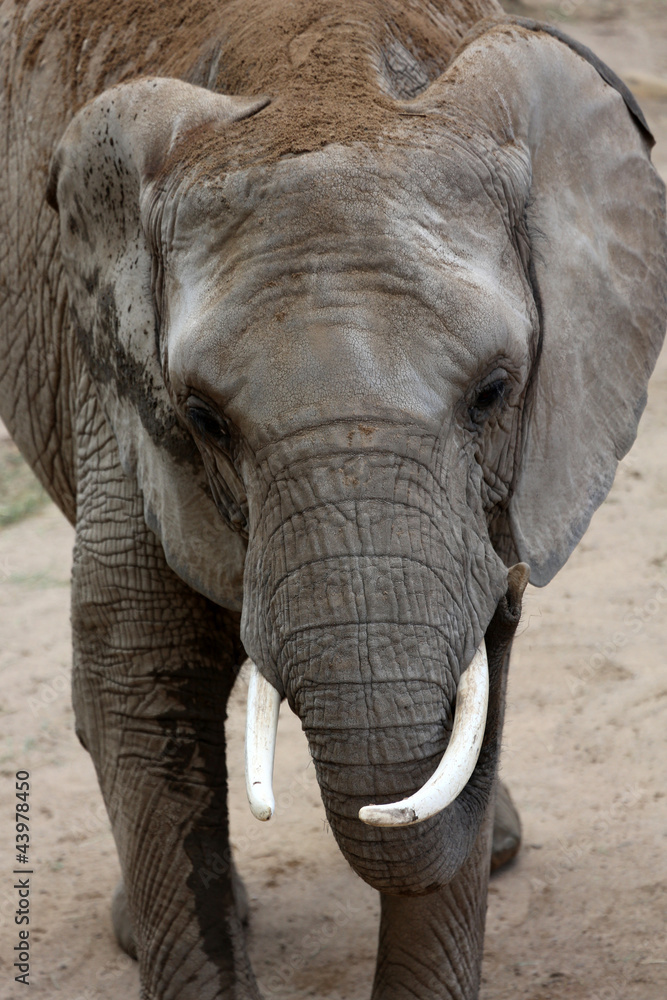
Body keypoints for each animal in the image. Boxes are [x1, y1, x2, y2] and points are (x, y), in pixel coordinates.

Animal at [1, 0, 666, 997]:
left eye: (493, 391)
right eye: (203, 418)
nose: (507, 588)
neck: (323, 72)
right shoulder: (114, 389)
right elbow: (138, 666)